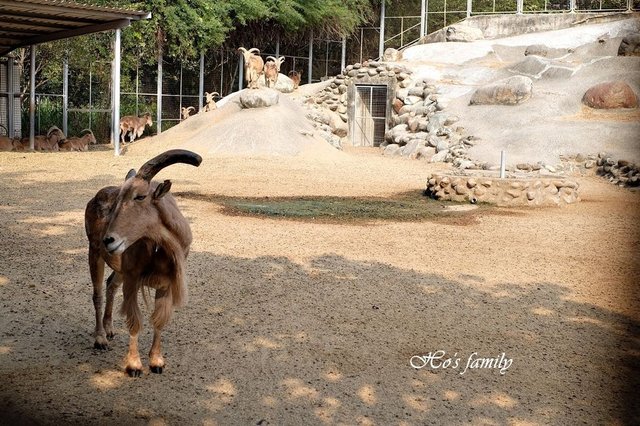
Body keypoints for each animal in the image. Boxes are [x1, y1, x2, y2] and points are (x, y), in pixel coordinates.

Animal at [84, 149, 201, 376]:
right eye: (118, 200)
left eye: (140, 196)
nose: (109, 240)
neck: (161, 246)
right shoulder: (132, 279)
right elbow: (135, 321)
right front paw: (134, 366)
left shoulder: (165, 284)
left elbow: (158, 319)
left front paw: (156, 362)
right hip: (94, 253)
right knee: (98, 294)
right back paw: (100, 338)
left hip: (118, 265)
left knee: (111, 284)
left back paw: (109, 329)